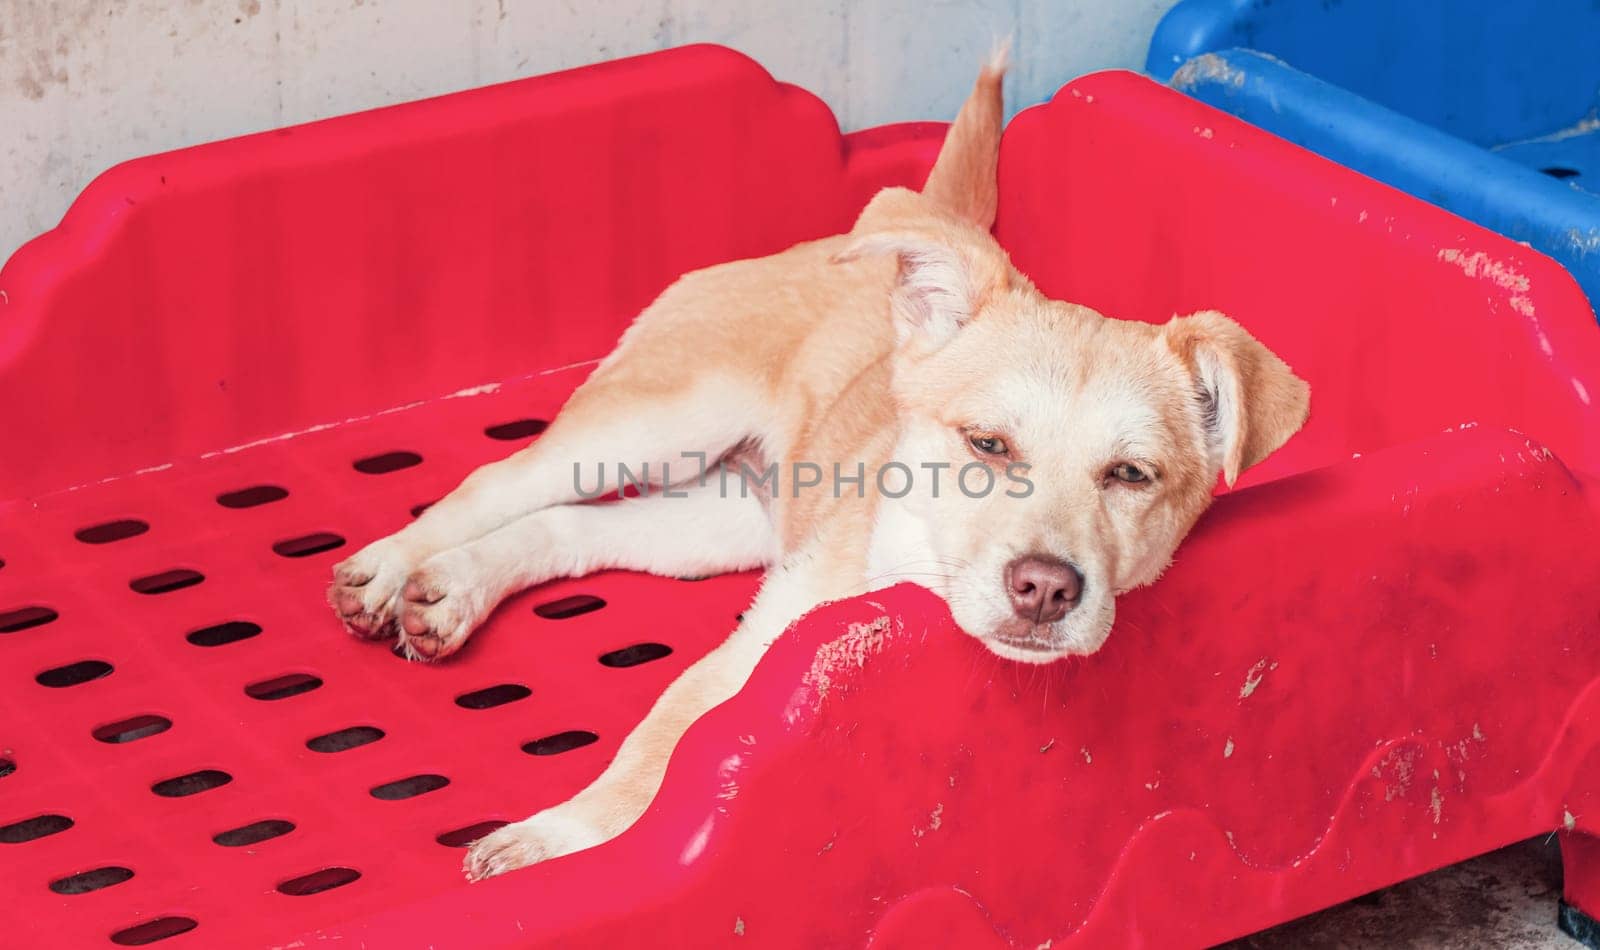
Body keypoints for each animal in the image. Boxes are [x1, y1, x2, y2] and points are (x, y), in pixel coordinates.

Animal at [328, 51, 1312, 882]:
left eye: (1130, 476)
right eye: (987, 445)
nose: (1044, 590)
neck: (908, 568)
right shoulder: (742, 663)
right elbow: (653, 756)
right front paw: (551, 845)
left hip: (719, 522)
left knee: (567, 528)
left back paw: (454, 587)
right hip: (659, 422)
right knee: (502, 481)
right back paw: (389, 569)